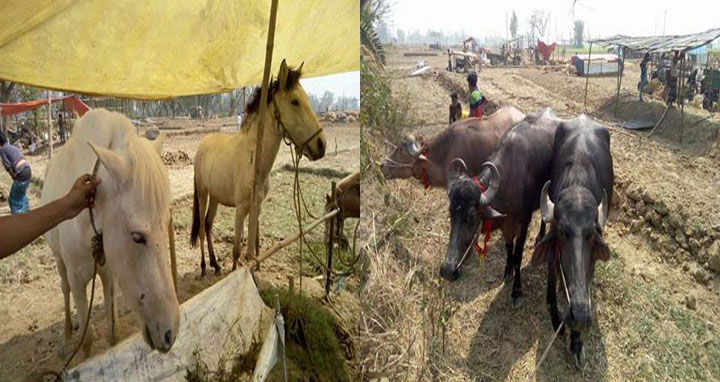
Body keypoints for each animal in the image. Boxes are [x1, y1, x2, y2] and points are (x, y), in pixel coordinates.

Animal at [40, 109, 180, 356]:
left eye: (166, 225)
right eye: (137, 236)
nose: (169, 333)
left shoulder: (111, 275)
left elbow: (113, 331)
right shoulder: (77, 281)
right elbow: (86, 339)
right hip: (59, 261)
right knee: (64, 289)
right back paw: (67, 332)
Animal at [191, 59, 326, 274]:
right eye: (294, 101)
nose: (321, 145)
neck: (254, 160)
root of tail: (202, 145)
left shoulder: (257, 206)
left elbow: (253, 249)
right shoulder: (241, 208)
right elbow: (237, 251)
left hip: (215, 197)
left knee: (209, 224)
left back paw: (215, 263)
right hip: (203, 194)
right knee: (203, 229)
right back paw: (204, 267)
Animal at [528, 115, 612, 368]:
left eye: (591, 234)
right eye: (563, 232)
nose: (580, 316)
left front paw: (576, 342)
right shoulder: (553, 256)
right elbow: (551, 291)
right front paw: (558, 320)